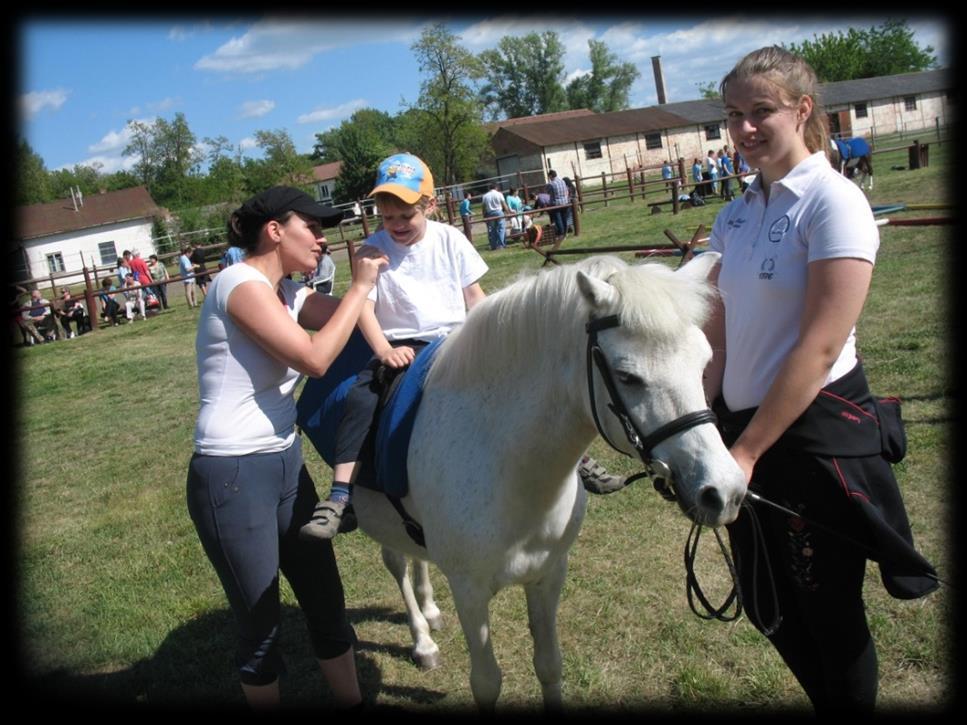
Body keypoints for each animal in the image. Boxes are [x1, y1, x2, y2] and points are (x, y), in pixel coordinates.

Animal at [336, 253, 744, 708]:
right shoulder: (469, 591)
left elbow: (549, 665)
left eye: (704, 363)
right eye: (627, 377)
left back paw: (430, 613)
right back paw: (422, 641)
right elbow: (487, 682)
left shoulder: (548, 575)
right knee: (396, 563)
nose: (724, 491)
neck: (507, 465)